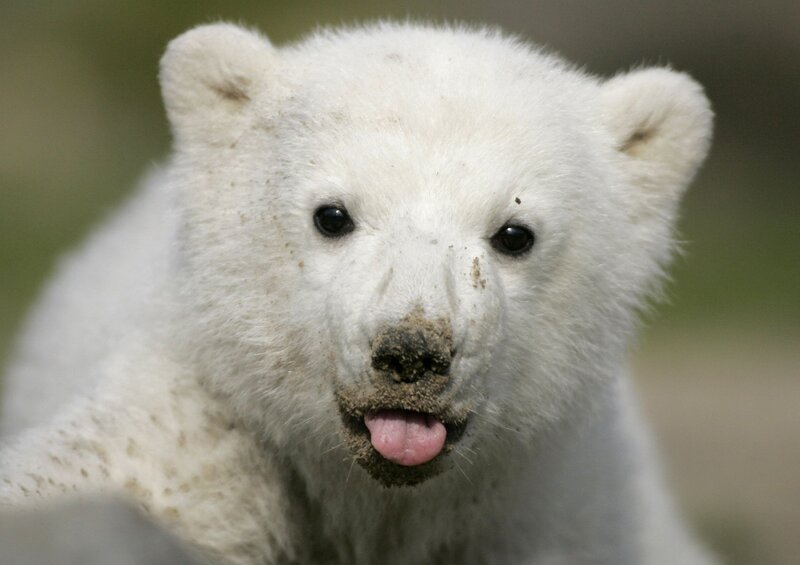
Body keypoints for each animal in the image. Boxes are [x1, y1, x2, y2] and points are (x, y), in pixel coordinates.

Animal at [0, 21, 715, 564]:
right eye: (332, 215)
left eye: (515, 232)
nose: (411, 354)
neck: (374, 503)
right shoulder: (206, 436)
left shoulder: (557, 510)